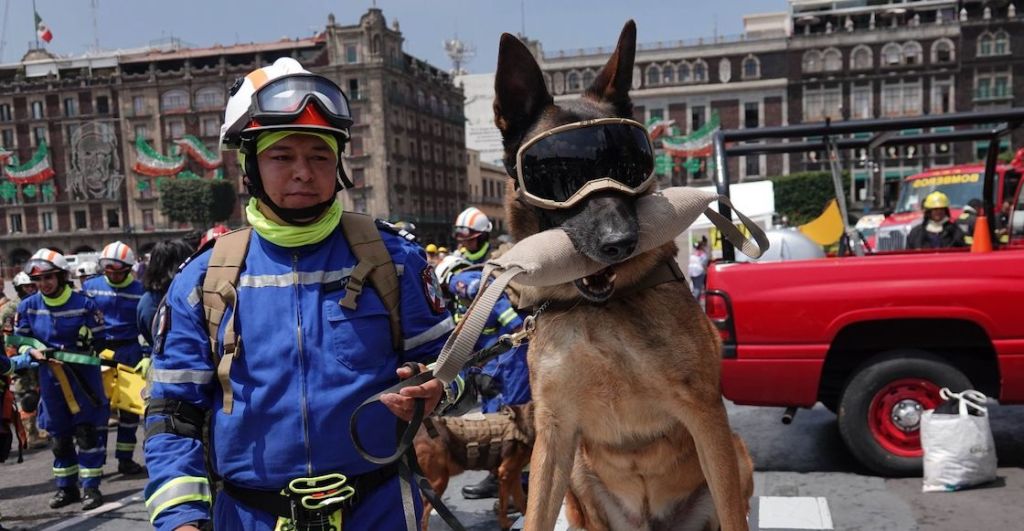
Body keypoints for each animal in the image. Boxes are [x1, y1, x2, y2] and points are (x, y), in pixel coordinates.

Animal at [491, 20, 757, 531]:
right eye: (555, 172)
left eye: (630, 163)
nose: (620, 242)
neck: (598, 309)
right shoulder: (555, 433)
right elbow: (533, 516)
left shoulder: (705, 415)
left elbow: (733, 514)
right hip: (578, 474)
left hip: (738, 453)